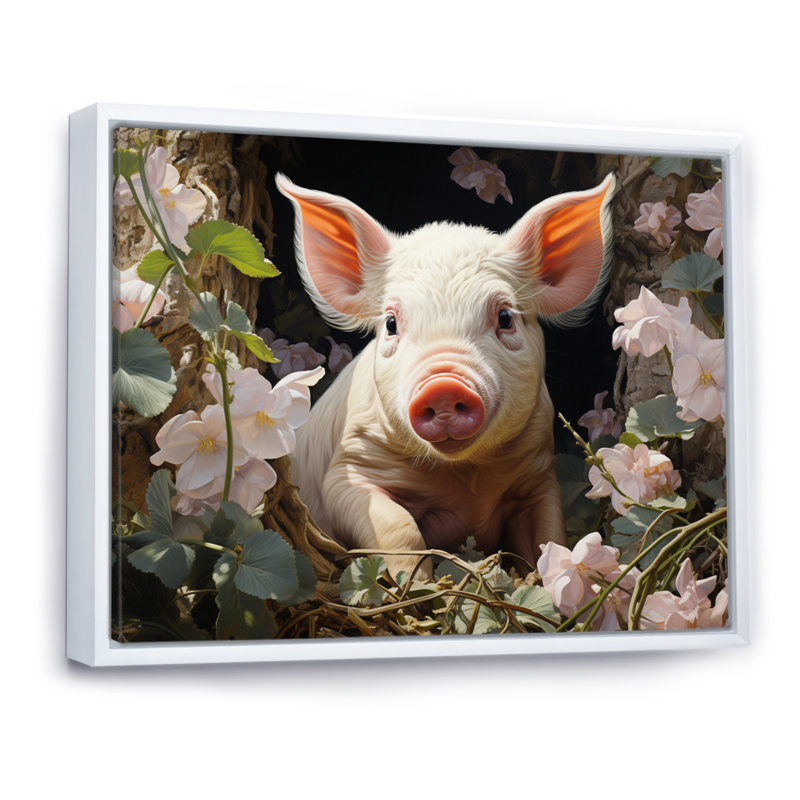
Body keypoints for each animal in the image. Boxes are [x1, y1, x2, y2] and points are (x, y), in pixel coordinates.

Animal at [275, 171, 616, 580]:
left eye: (505, 317)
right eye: (391, 323)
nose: (442, 384)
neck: (464, 479)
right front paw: (420, 584)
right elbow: (397, 525)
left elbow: (548, 533)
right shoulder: (348, 470)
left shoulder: (537, 477)